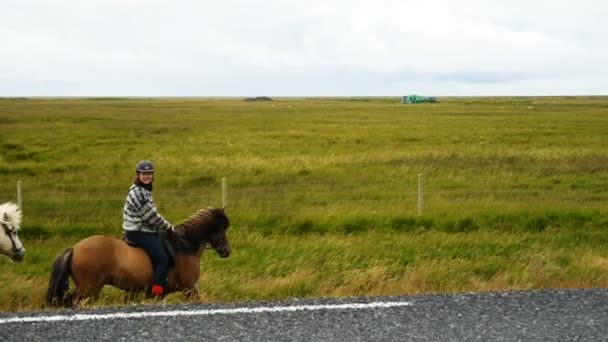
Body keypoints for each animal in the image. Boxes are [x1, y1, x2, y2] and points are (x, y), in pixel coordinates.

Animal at [45, 207, 230, 306]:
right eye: (221, 230)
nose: (227, 251)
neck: (183, 246)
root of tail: (75, 248)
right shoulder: (189, 288)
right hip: (88, 288)